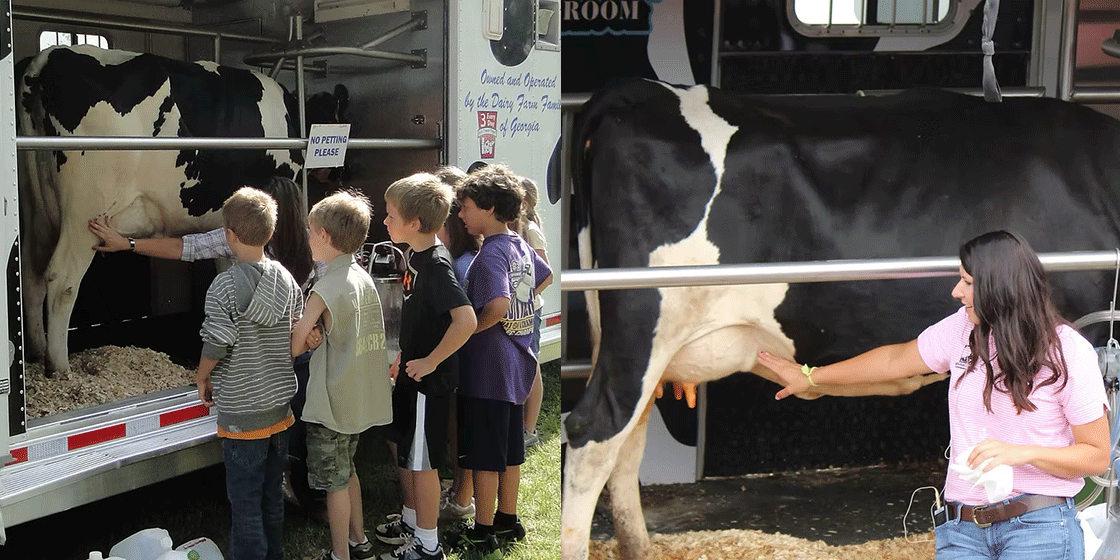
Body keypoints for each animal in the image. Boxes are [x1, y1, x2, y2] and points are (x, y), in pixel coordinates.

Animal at [16, 44, 331, 376]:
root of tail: (48, 55)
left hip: (37, 209)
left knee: (32, 271)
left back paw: (35, 352)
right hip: (85, 209)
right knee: (62, 278)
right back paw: (59, 366)